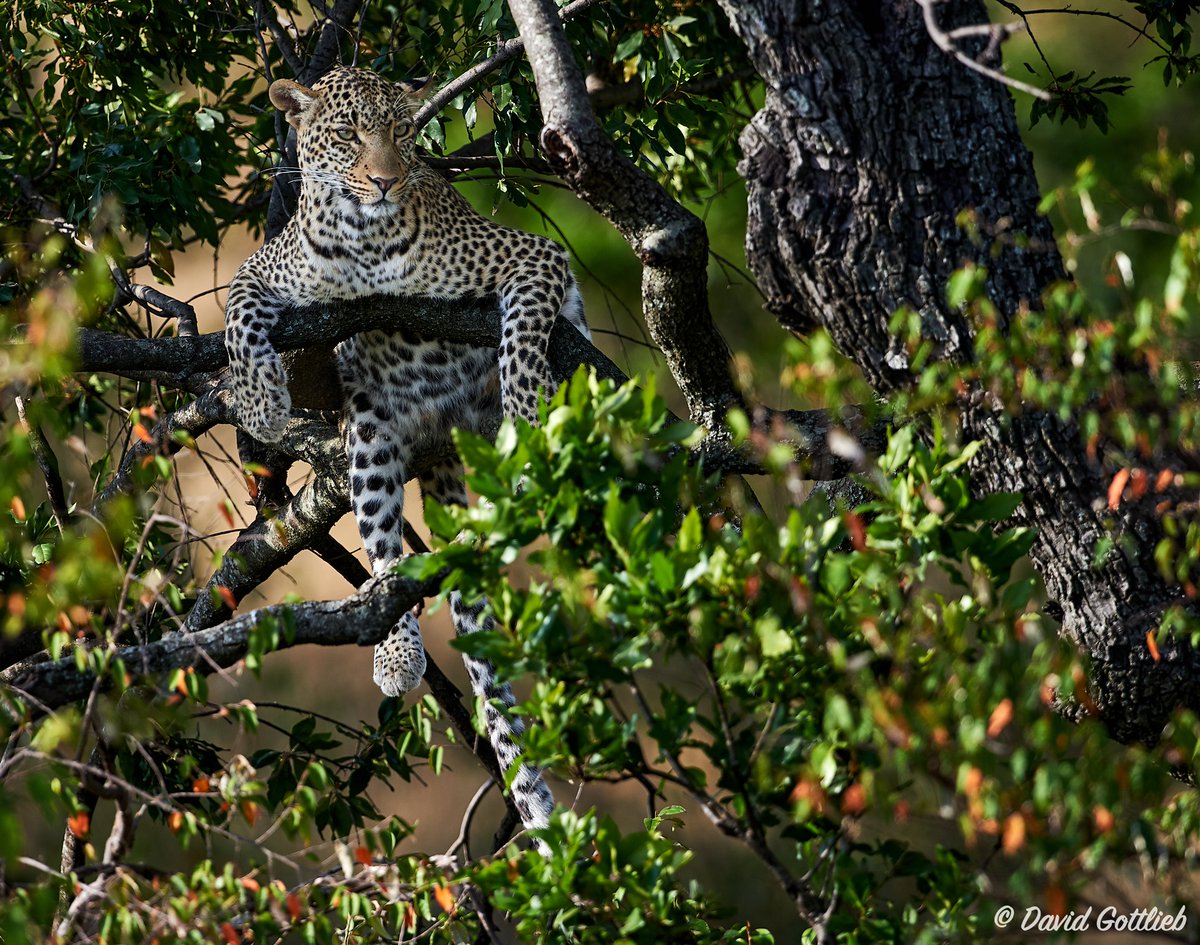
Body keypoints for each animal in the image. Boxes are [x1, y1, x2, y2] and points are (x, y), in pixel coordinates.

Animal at [223, 66, 588, 842]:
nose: (387, 180)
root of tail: (443, 429)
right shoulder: (262, 270)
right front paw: (263, 402)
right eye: (349, 132)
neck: (361, 240)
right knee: (388, 558)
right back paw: (396, 650)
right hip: (370, 435)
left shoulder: (532, 256)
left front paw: (529, 405)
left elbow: (522, 329)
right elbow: (239, 316)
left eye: (400, 129)